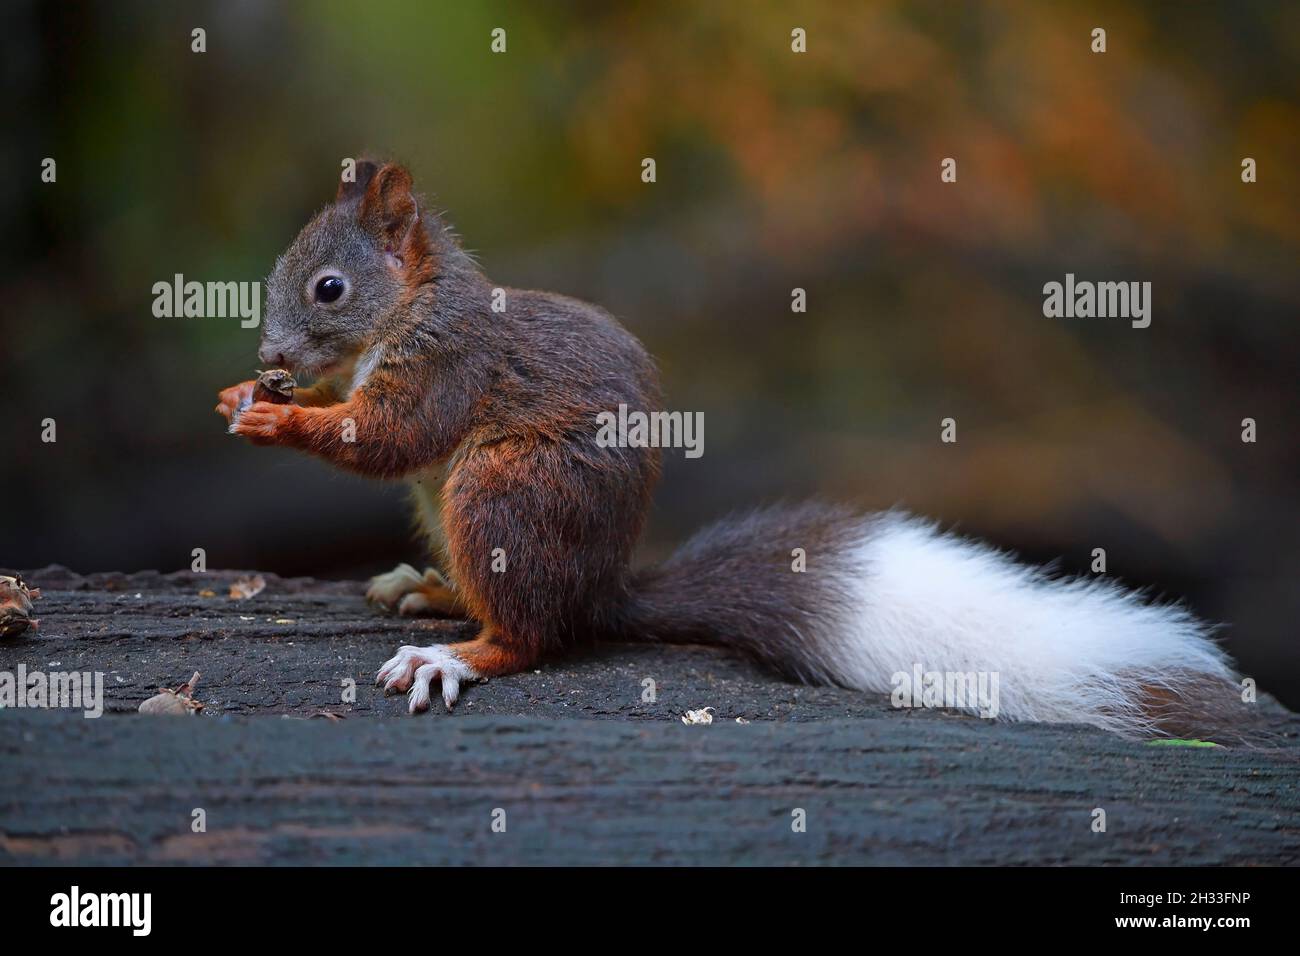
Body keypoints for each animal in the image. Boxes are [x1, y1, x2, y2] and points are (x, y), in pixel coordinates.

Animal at [218, 160, 1242, 738]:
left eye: (328, 287)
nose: (269, 359)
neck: (410, 307)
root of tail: (603, 588)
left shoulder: (446, 368)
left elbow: (386, 437)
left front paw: (278, 418)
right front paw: (245, 396)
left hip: (501, 491)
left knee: (534, 637)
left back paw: (459, 655)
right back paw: (432, 591)